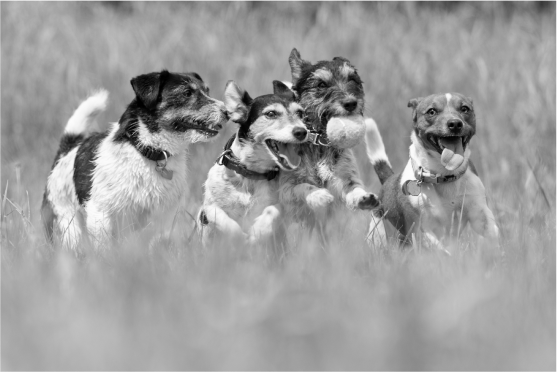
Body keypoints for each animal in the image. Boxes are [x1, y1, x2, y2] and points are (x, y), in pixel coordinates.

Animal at [40, 70, 228, 251]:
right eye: (187, 93)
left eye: (207, 91)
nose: (227, 112)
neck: (147, 152)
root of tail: (65, 152)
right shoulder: (100, 213)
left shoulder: (163, 216)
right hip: (68, 222)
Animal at [197, 81, 308, 250]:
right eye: (271, 114)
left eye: (300, 113)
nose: (302, 131)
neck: (251, 173)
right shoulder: (207, 211)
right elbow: (216, 214)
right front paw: (239, 238)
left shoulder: (280, 204)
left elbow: (274, 210)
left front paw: (258, 231)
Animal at [364, 92, 500, 248]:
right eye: (432, 111)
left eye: (465, 109)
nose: (455, 124)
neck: (445, 175)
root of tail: (388, 181)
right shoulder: (421, 228)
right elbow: (439, 249)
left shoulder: (478, 211)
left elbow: (491, 231)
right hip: (378, 231)